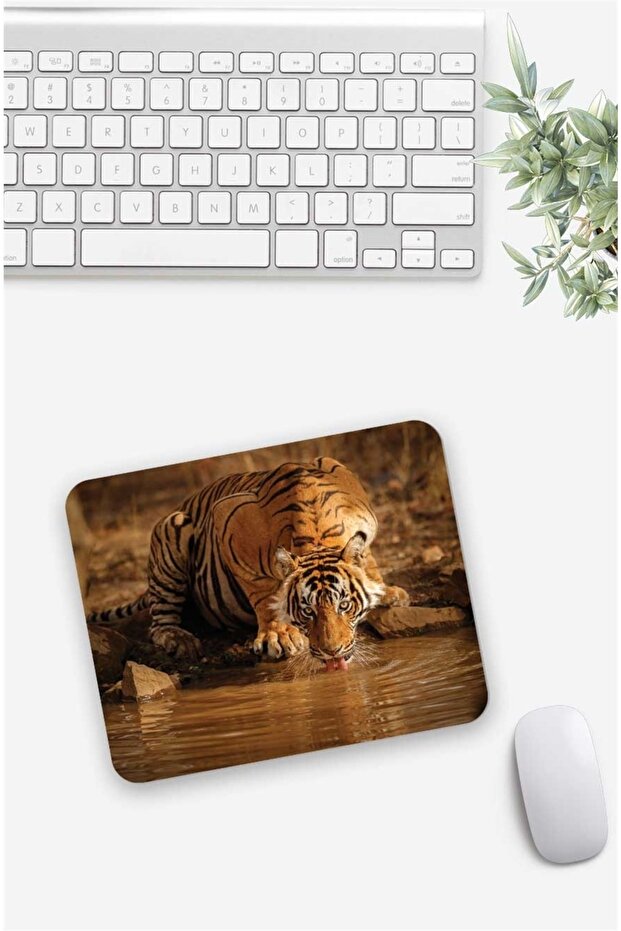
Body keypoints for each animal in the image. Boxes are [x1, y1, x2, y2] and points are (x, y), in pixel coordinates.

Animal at [87, 457, 409, 669]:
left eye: (344, 605)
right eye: (307, 611)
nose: (332, 653)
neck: (317, 533)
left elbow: (367, 558)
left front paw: (385, 591)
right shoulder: (226, 524)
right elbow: (262, 593)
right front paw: (278, 636)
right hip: (172, 530)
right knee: (158, 624)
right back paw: (180, 639)